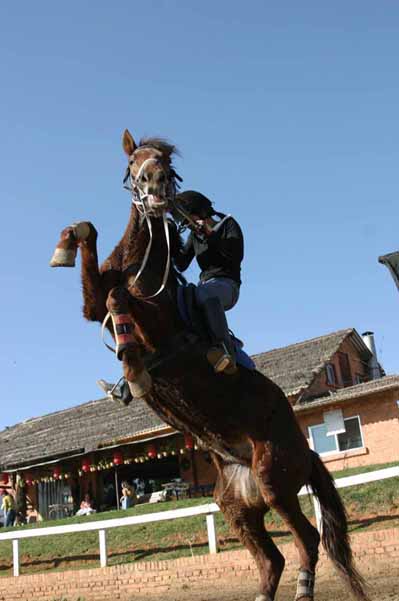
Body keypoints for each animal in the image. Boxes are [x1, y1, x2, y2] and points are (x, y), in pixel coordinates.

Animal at [52, 131, 368, 600]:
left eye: (166, 163)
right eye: (134, 162)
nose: (156, 184)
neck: (142, 266)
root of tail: (307, 450)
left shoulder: (155, 322)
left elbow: (119, 297)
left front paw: (135, 374)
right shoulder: (94, 305)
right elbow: (93, 254)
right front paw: (64, 249)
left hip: (275, 481)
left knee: (307, 539)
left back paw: (303, 589)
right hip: (237, 505)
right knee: (271, 558)